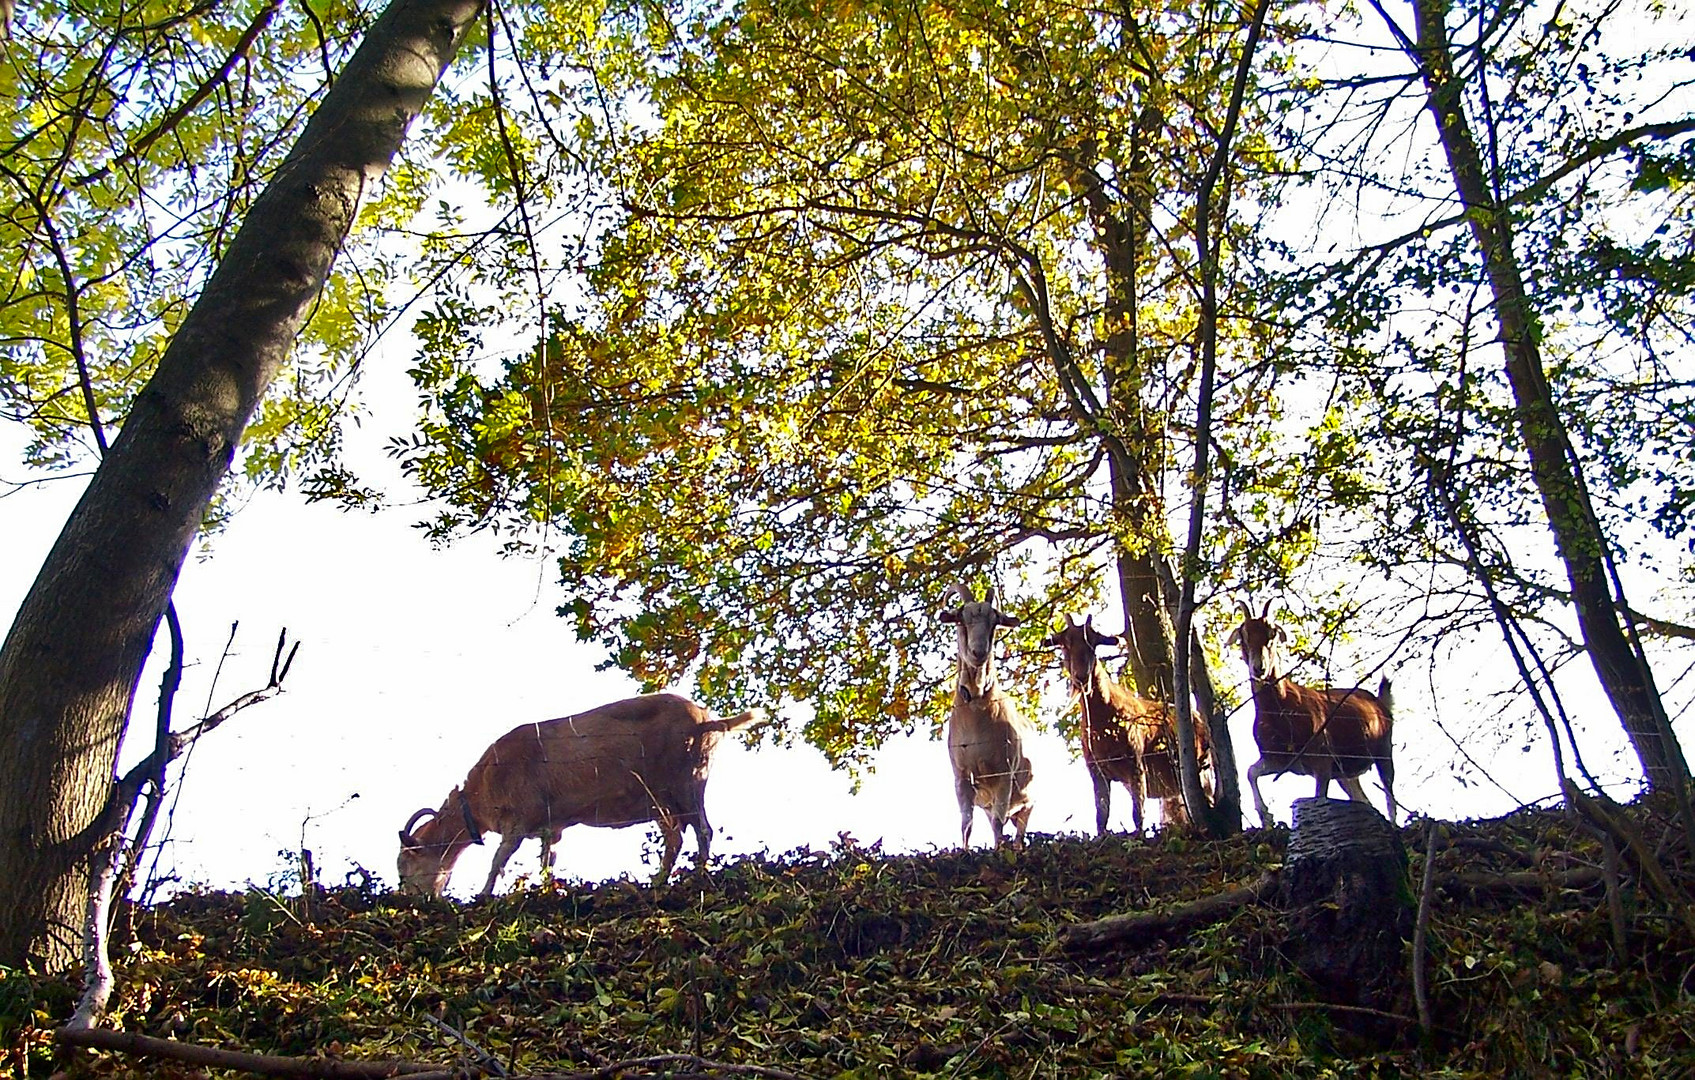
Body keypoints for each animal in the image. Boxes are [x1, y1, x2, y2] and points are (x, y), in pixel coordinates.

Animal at [396, 691, 762, 895]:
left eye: (403, 866)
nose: (408, 898)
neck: (481, 790)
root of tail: (708, 722)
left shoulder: (518, 819)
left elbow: (499, 860)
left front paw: (484, 894)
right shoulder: (551, 826)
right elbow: (548, 860)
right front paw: (545, 889)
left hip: (685, 780)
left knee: (701, 830)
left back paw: (695, 876)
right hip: (662, 799)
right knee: (677, 837)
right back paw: (660, 880)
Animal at [942, 586, 1030, 847]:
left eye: (995, 622)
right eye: (961, 620)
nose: (978, 652)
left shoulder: (1004, 774)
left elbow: (999, 825)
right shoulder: (961, 777)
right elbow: (966, 824)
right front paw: (965, 851)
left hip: (1026, 803)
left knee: (1018, 832)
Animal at [1030, 613, 1206, 834]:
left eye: (1093, 643)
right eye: (1065, 645)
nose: (1081, 677)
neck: (1103, 722)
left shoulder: (1136, 762)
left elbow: (1138, 813)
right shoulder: (1096, 770)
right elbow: (1102, 814)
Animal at [1227, 596, 1396, 823]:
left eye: (1271, 634)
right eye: (1243, 636)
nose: (1259, 668)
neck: (1281, 712)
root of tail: (1380, 703)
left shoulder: (1321, 762)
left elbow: (1319, 797)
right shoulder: (1277, 760)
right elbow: (1250, 772)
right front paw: (1266, 816)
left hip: (1383, 752)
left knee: (1390, 794)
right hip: (1346, 773)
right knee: (1364, 800)